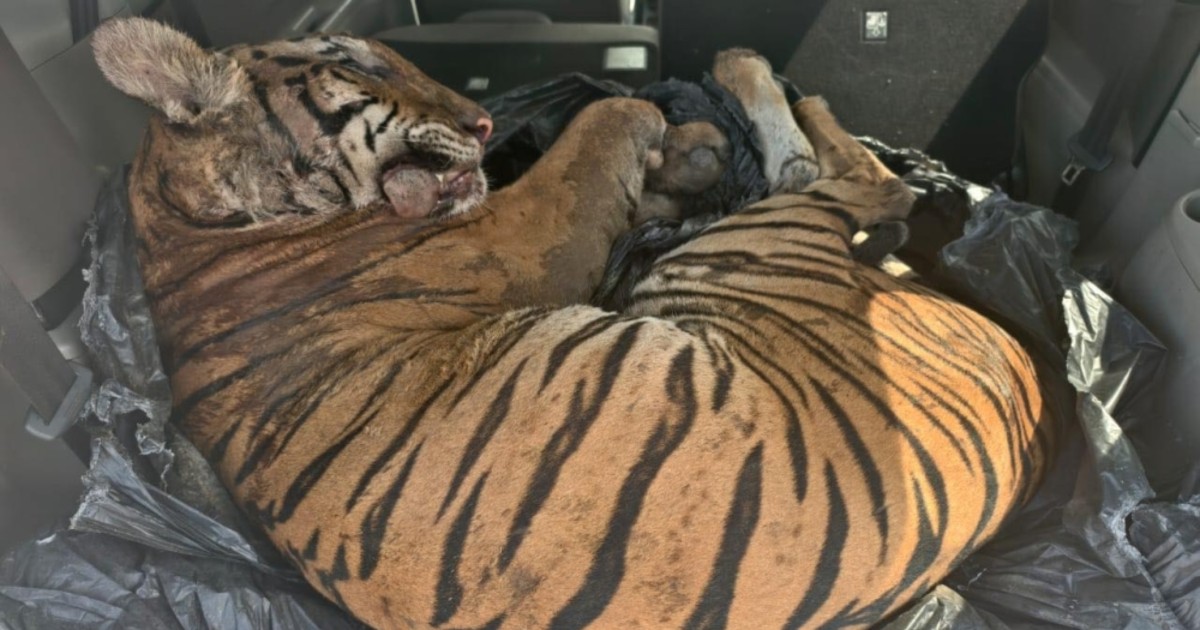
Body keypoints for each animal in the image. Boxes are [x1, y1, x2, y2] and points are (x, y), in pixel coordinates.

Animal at [92, 17, 1062, 629]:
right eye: (356, 63)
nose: (484, 120)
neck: (195, 222)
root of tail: (1029, 379)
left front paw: (684, 155)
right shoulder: (520, 229)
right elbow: (605, 116)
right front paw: (678, 131)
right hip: (762, 239)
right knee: (852, 176)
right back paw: (751, 71)